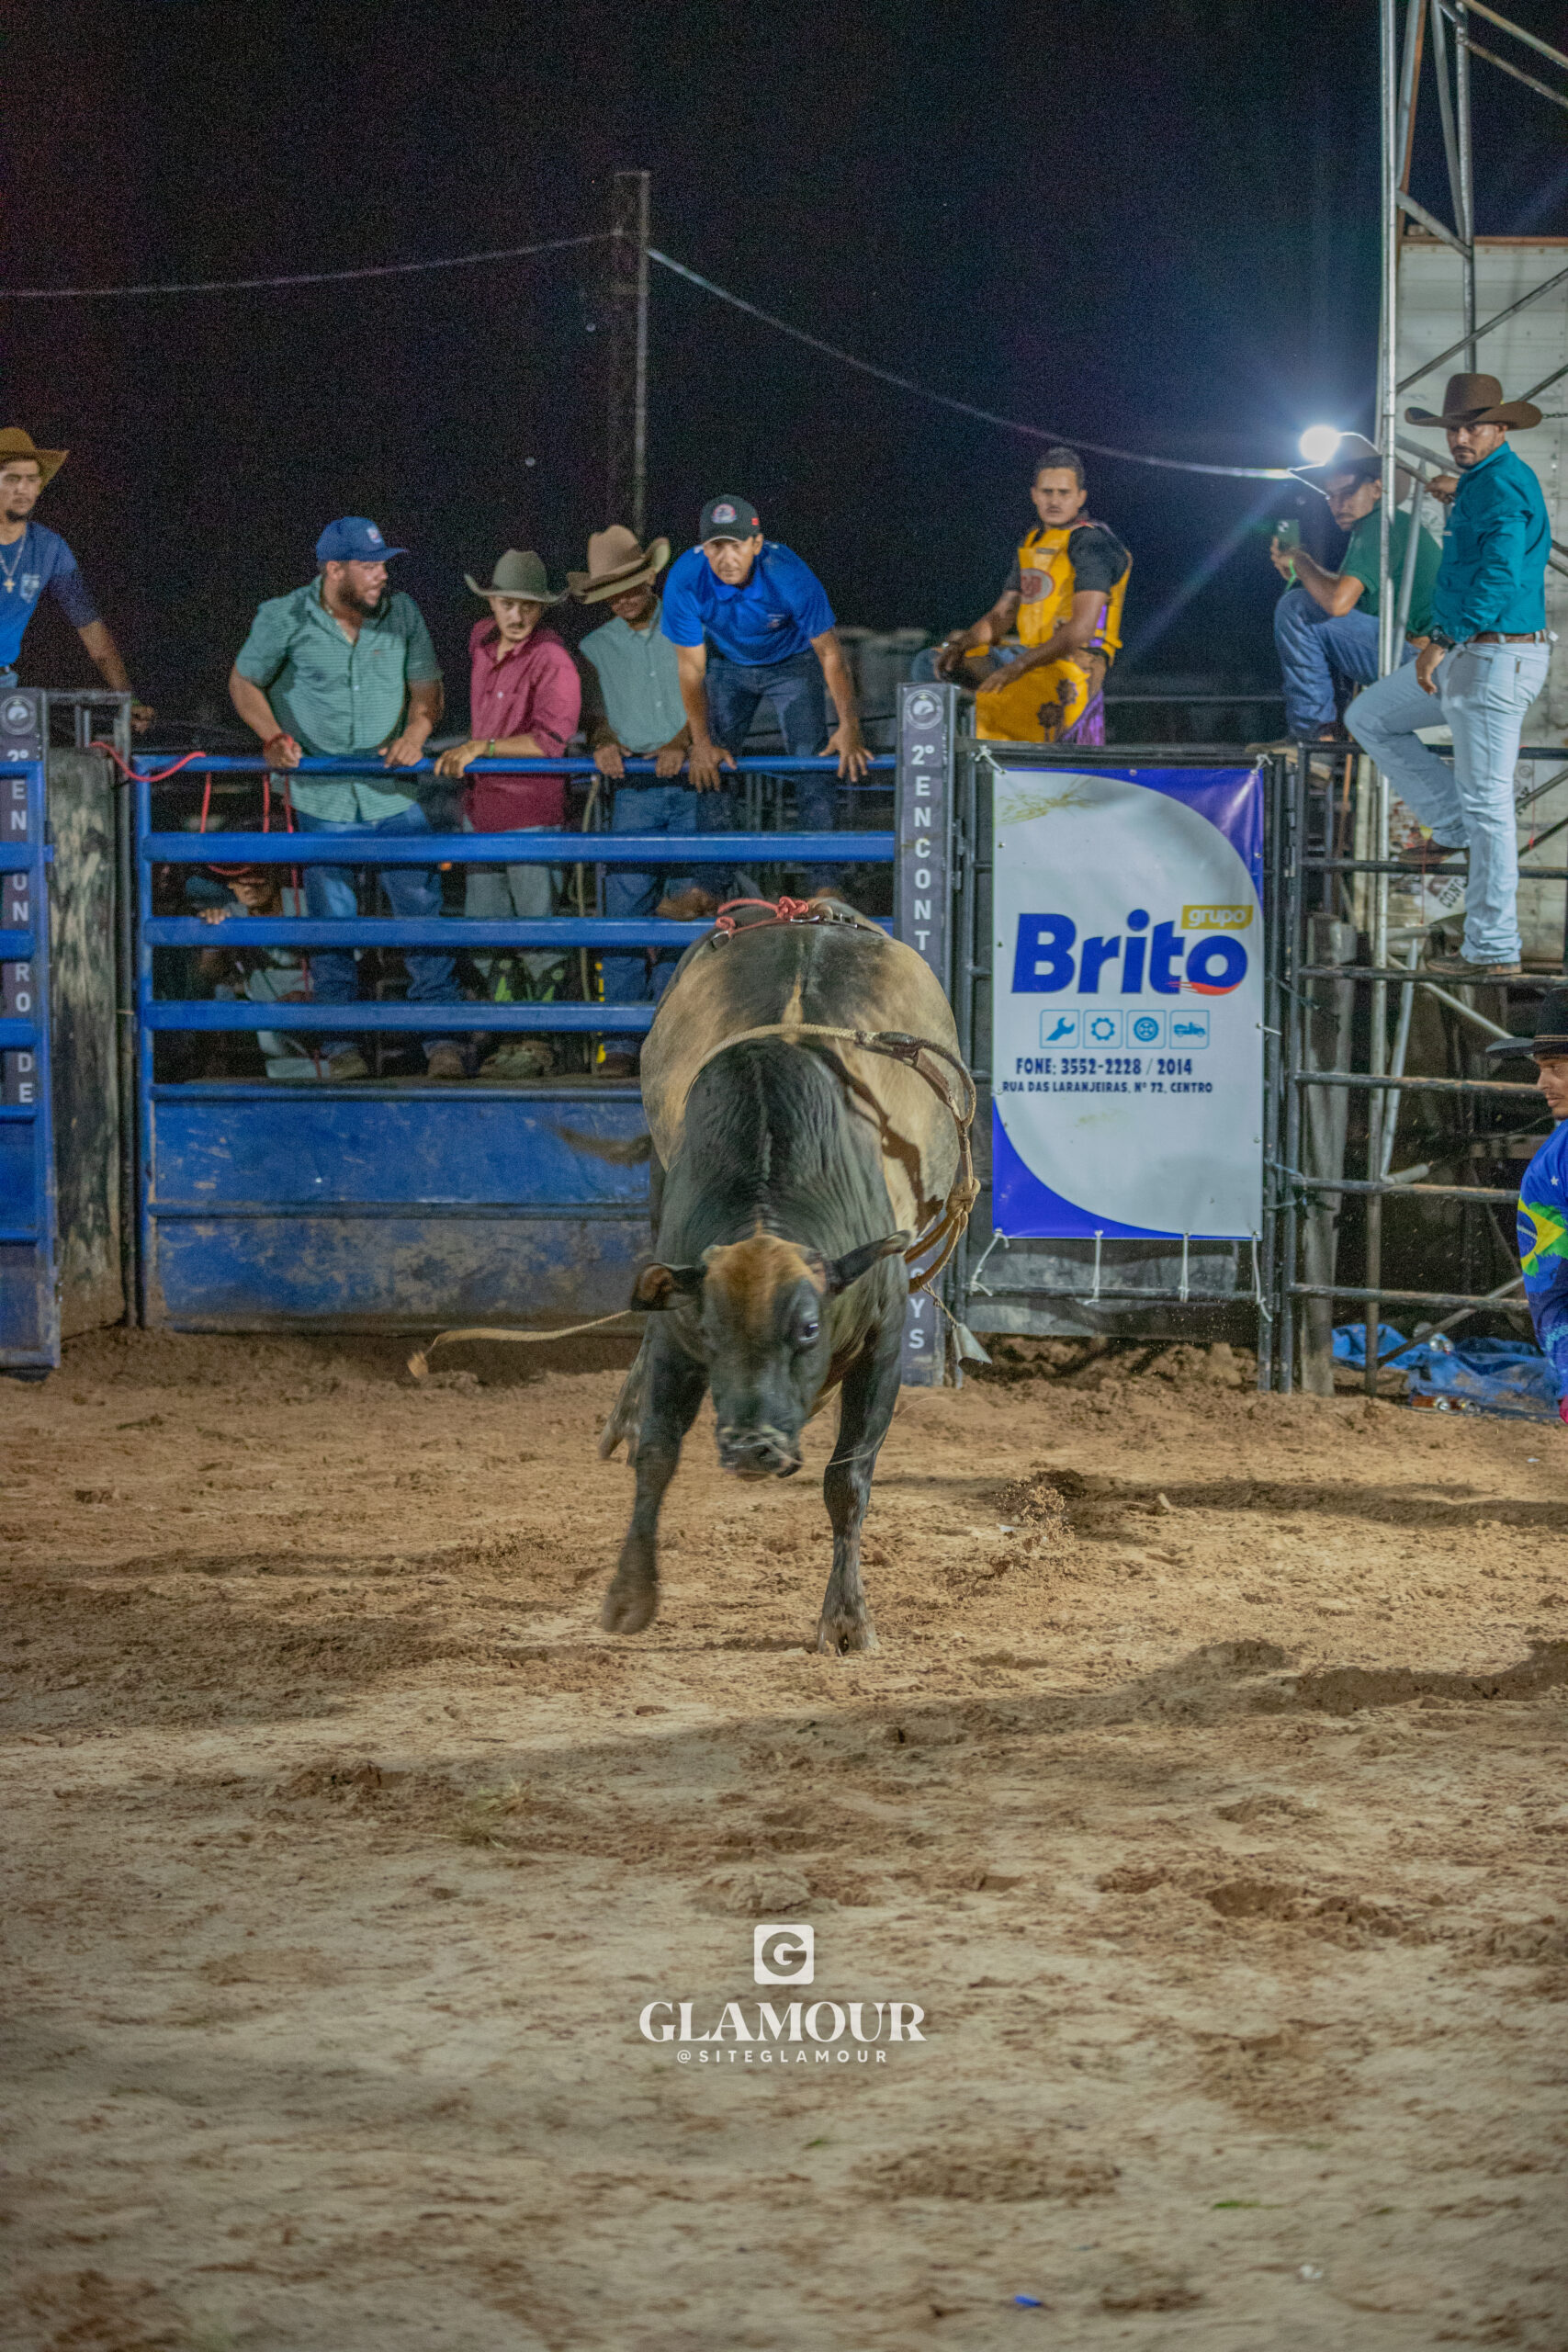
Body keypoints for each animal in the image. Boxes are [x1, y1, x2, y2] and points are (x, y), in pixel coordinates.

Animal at [598, 900, 974, 1655]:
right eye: (713, 1332)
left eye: (806, 1328)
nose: (753, 1448)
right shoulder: (678, 1324)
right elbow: (657, 1453)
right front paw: (630, 1594)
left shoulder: (884, 1339)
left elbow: (847, 1479)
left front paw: (846, 1618)